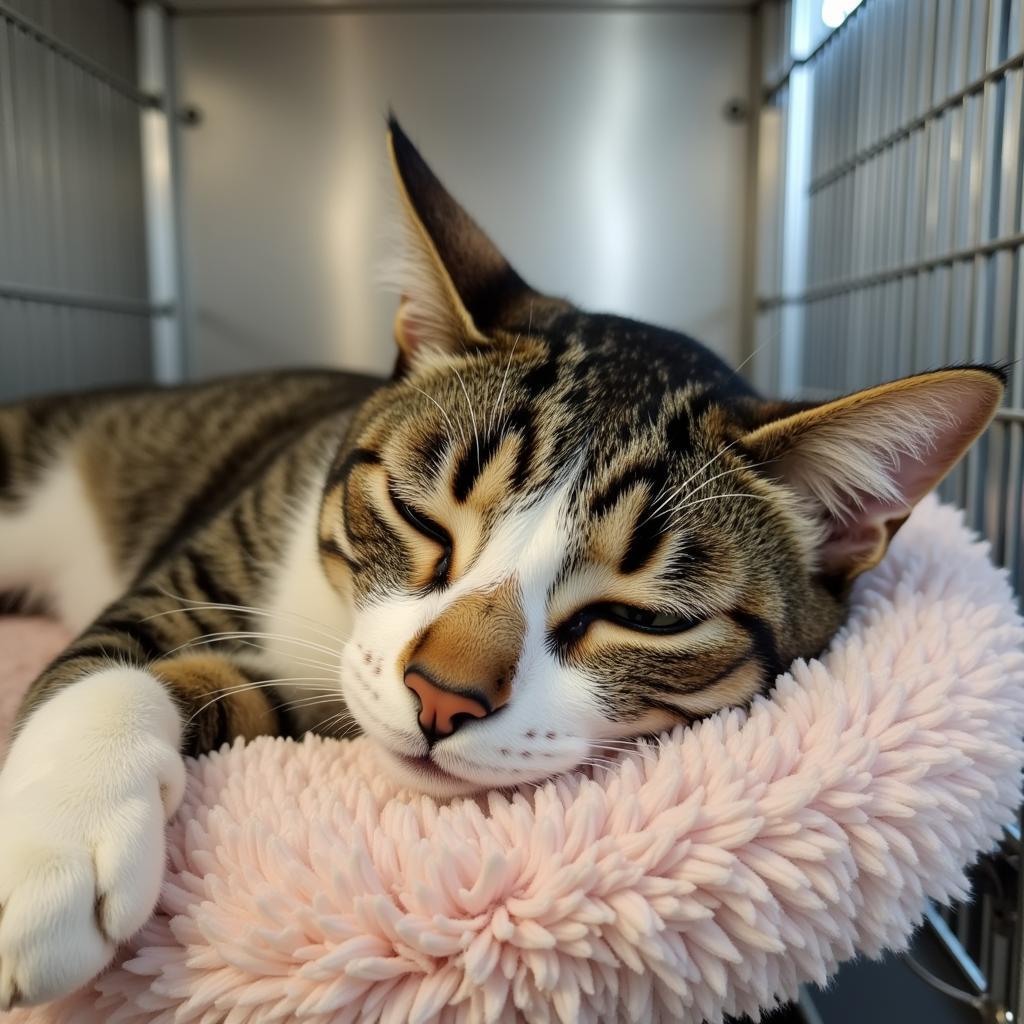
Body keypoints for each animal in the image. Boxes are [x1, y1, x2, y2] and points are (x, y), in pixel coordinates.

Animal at [0, 116, 1003, 1003]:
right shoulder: (200, 568)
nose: (442, 698)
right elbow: (116, 655)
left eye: (643, 618)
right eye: (418, 517)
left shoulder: (316, 712)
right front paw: (51, 847)